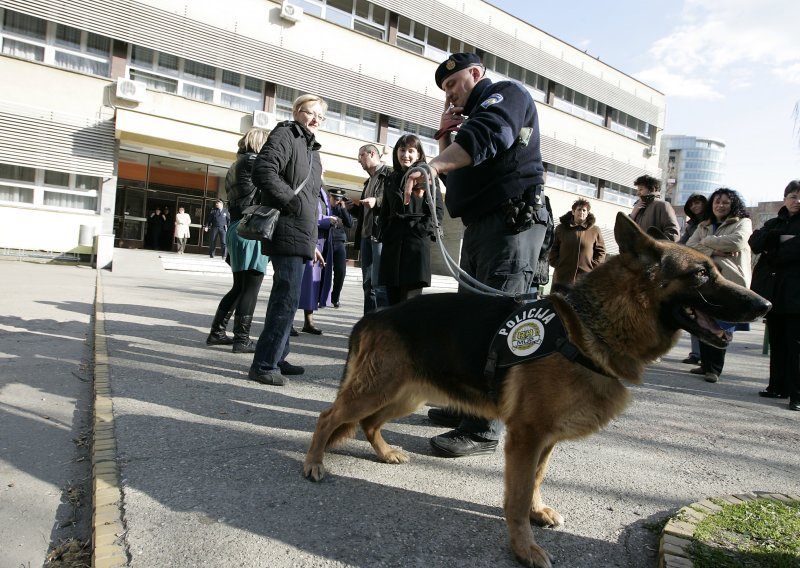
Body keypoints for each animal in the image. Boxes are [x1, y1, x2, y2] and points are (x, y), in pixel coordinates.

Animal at [304, 214, 772, 568]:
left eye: (715, 270)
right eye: (701, 274)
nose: (764, 306)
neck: (588, 328)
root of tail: (375, 315)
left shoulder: (545, 438)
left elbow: (536, 481)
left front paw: (537, 511)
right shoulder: (526, 437)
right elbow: (515, 496)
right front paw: (524, 547)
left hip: (405, 394)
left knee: (366, 423)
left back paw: (383, 452)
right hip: (381, 389)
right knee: (329, 417)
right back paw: (314, 463)